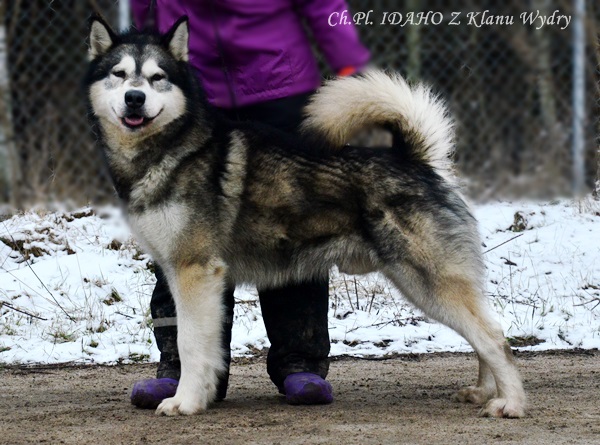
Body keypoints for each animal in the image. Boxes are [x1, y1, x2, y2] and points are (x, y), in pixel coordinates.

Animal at [85, 16, 524, 416]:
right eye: (119, 75)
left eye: (157, 77)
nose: (135, 98)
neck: (172, 149)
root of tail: (414, 160)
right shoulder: (182, 274)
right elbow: (202, 346)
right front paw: (200, 396)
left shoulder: (194, 272)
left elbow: (192, 344)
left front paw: (185, 402)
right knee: (486, 333)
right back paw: (483, 392)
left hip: (429, 282)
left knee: (494, 338)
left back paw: (510, 404)